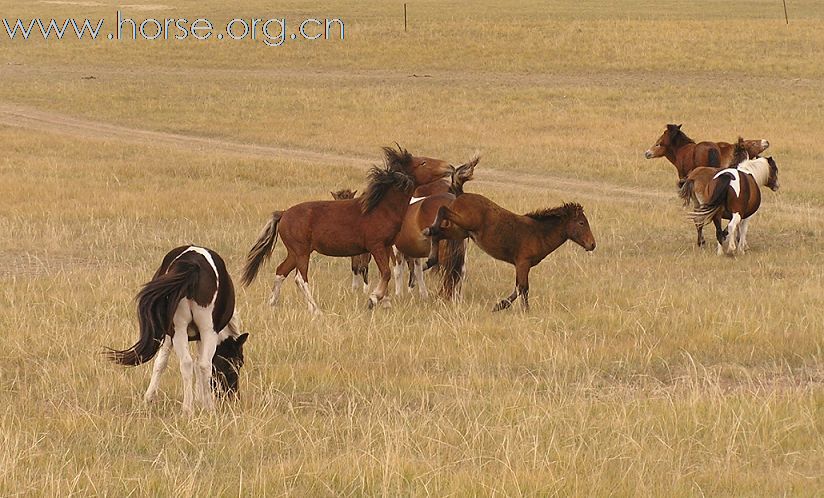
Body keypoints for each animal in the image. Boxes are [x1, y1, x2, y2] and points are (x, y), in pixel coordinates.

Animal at [106, 245, 248, 412]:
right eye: (238, 363)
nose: (233, 396)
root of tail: (194, 265)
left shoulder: (170, 334)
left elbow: (165, 362)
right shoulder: (197, 336)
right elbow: (193, 363)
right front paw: (200, 399)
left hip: (180, 329)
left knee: (188, 363)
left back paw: (188, 409)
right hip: (206, 330)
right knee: (203, 364)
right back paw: (207, 408)